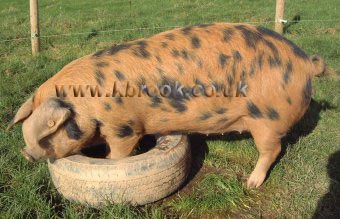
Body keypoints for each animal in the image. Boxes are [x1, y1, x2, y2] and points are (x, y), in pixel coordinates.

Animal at [7, 22, 326, 188]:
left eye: (48, 132)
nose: (25, 153)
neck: (88, 102)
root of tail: (305, 62)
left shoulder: (124, 128)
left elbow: (118, 155)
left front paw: (109, 161)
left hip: (267, 119)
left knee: (272, 149)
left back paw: (251, 184)